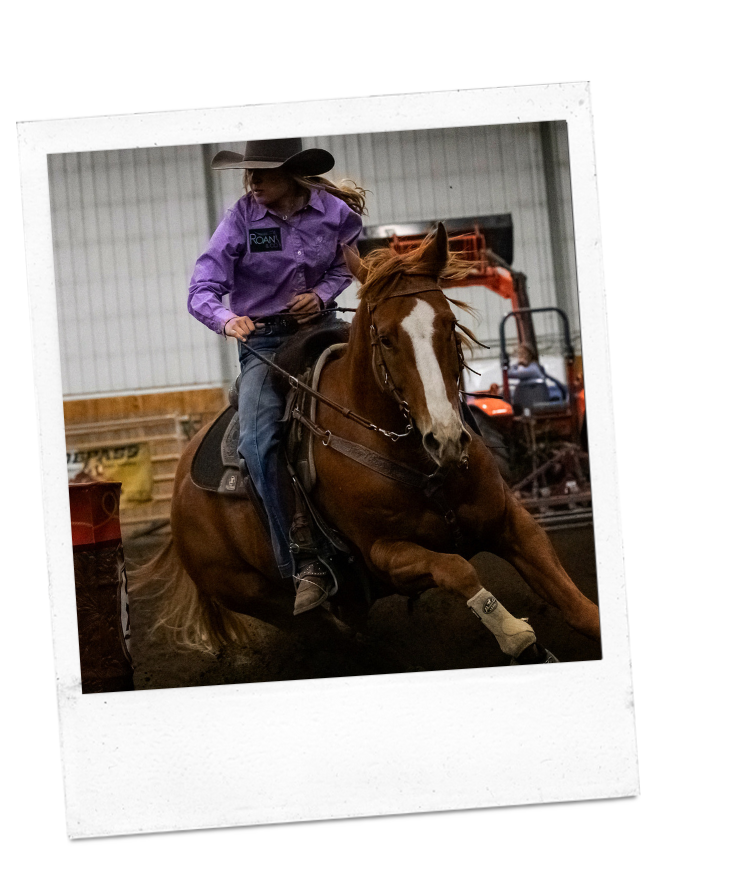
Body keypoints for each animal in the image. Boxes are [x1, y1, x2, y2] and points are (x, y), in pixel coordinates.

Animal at [132, 224, 600, 667]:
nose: (447, 438)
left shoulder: (510, 521)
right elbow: (459, 569)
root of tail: (179, 490)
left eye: (449, 324)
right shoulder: (385, 556)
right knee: (347, 643)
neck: (418, 459)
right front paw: (518, 636)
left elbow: (580, 609)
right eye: (387, 338)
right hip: (264, 599)